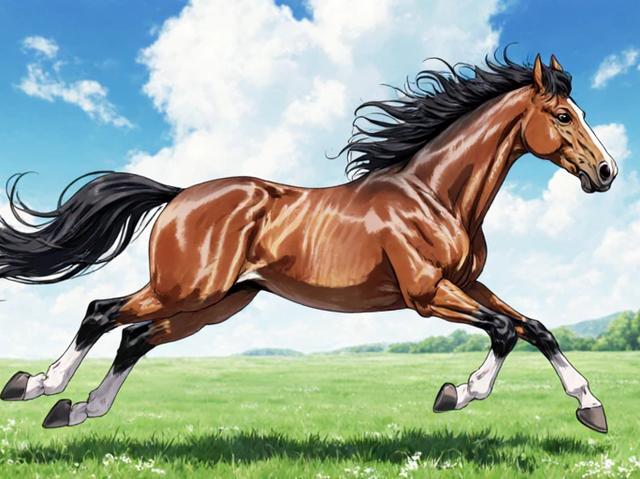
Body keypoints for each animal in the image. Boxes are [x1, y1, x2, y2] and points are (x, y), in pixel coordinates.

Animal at [0, 52, 617, 433]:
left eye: (581, 111)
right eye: (562, 115)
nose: (607, 172)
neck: (434, 194)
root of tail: (179, 195)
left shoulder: (468, 283)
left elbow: (535, 327)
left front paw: (591, 407)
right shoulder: (427, 293)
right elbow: (504, 331)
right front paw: (457, 393)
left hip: (216, 302)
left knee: (135, 336)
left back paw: (79, 410)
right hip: (187, 289)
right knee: (101, 311)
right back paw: (36, 387)